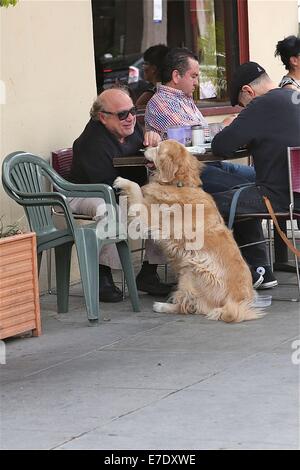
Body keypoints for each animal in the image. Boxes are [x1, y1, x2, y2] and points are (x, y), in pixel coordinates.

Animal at [113, 140, 262, 324]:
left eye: (158, 147)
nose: (144, 148)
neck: (179, 183)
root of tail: (236, 304)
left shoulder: (149, 215)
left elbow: (135, 189)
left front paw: (122, 181)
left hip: (190, 270)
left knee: (189, 306)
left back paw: (161, 306)